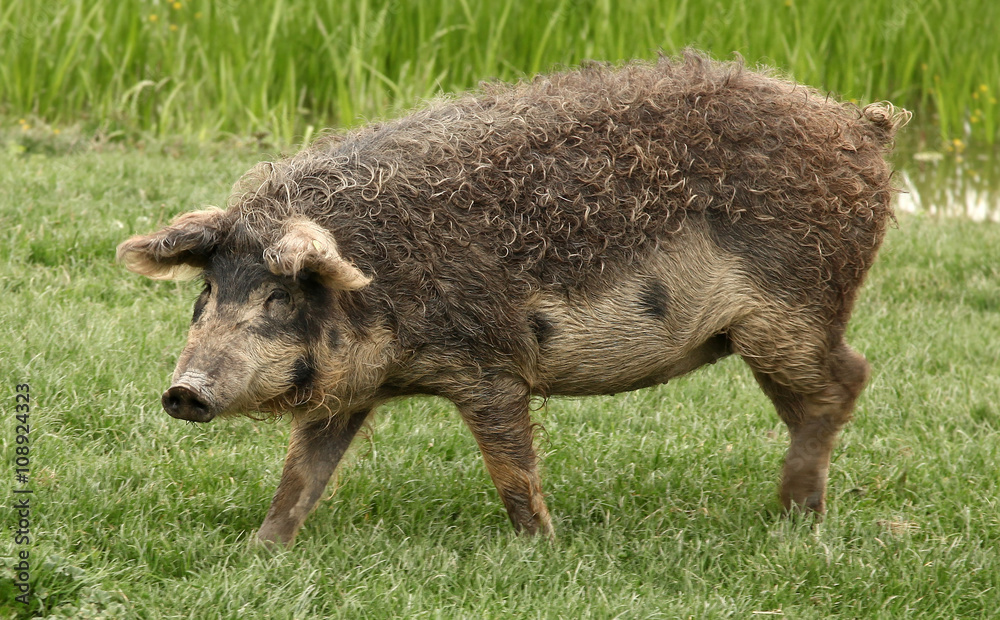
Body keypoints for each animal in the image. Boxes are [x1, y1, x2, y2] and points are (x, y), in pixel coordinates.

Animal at [117, 51, 908, 546]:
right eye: (208, 291)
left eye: (280, 298)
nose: (183, 391)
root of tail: (860, 127)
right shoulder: (350, 391)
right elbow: (302, 475)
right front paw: (260, 549)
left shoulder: (491, 363)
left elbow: (511, 466)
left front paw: (544, 549)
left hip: (792, 310)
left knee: (848, 379)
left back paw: (793, 519)